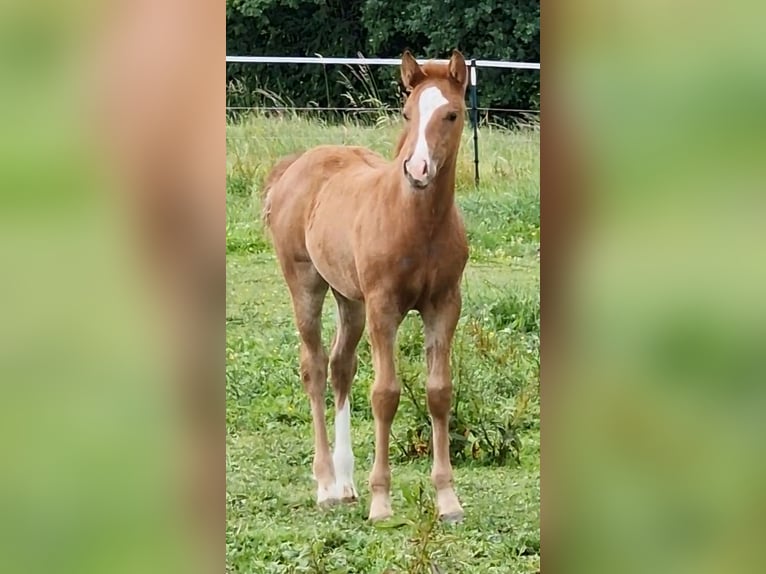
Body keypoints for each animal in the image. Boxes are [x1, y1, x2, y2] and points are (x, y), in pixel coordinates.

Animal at [262, 50, 468, 528]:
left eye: (451, 114)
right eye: (407, 112)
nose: (417, 169)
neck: (417, 223)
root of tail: (294, 165)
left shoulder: (445, 304)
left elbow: (439, 392)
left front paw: (447, 499)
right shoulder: (383, 307)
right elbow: (385, 395)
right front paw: (382, 502)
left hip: (349, 299)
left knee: (341, 366)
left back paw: (345, 483)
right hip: (306, 285)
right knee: (315, 367)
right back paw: (325, 485)